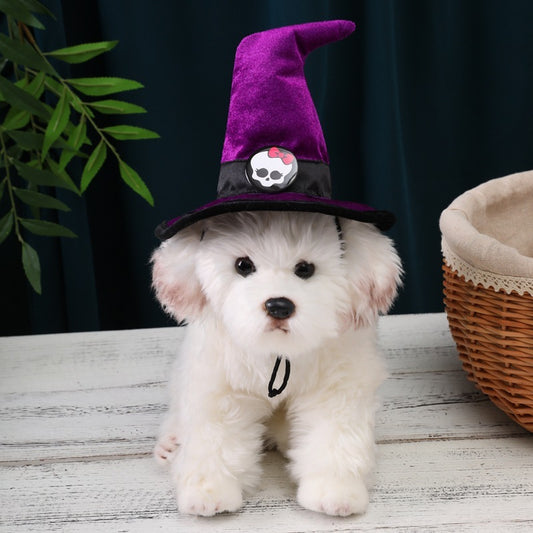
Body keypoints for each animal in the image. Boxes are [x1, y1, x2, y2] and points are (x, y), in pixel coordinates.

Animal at [150, 211, 400, 516]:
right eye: (243, 265)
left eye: (305, 269)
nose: (279, 306)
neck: (278, 353)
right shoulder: (219, 387)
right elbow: (213, 439)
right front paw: (209, 492)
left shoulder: (337, 388)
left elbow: (334, 437)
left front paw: (335, 491)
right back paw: (169, 445)